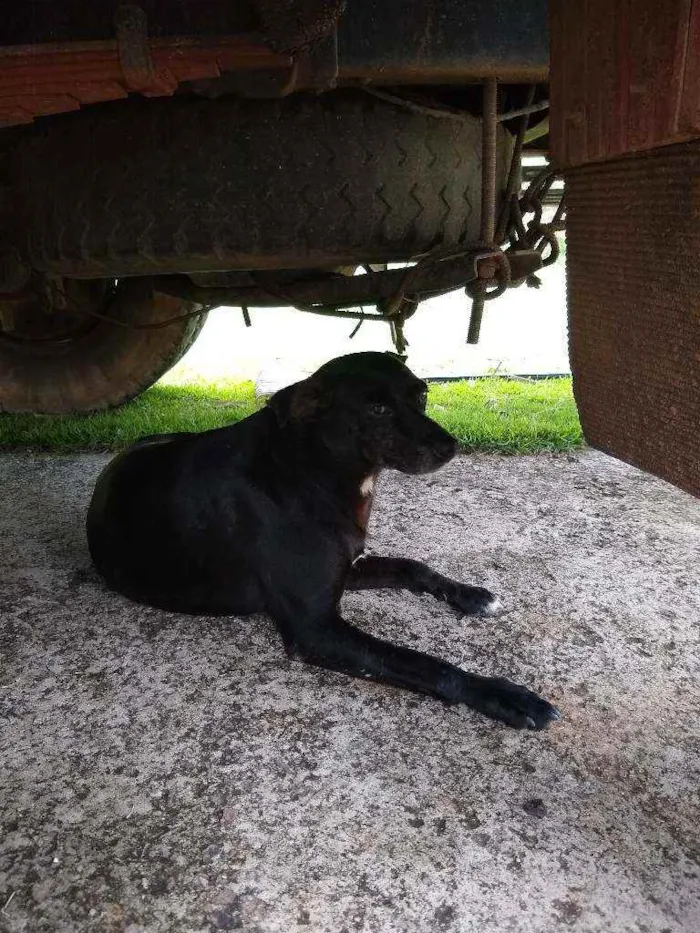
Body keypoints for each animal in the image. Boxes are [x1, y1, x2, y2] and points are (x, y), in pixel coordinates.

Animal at [87, 352, 560, 728]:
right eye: (377, 408)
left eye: (422, 395)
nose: (451, 446)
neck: (313, 467)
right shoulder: (315, 628)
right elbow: (421, 662)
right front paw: (504, 695)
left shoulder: (348, 569)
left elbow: (413, 566)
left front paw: (472, 594)